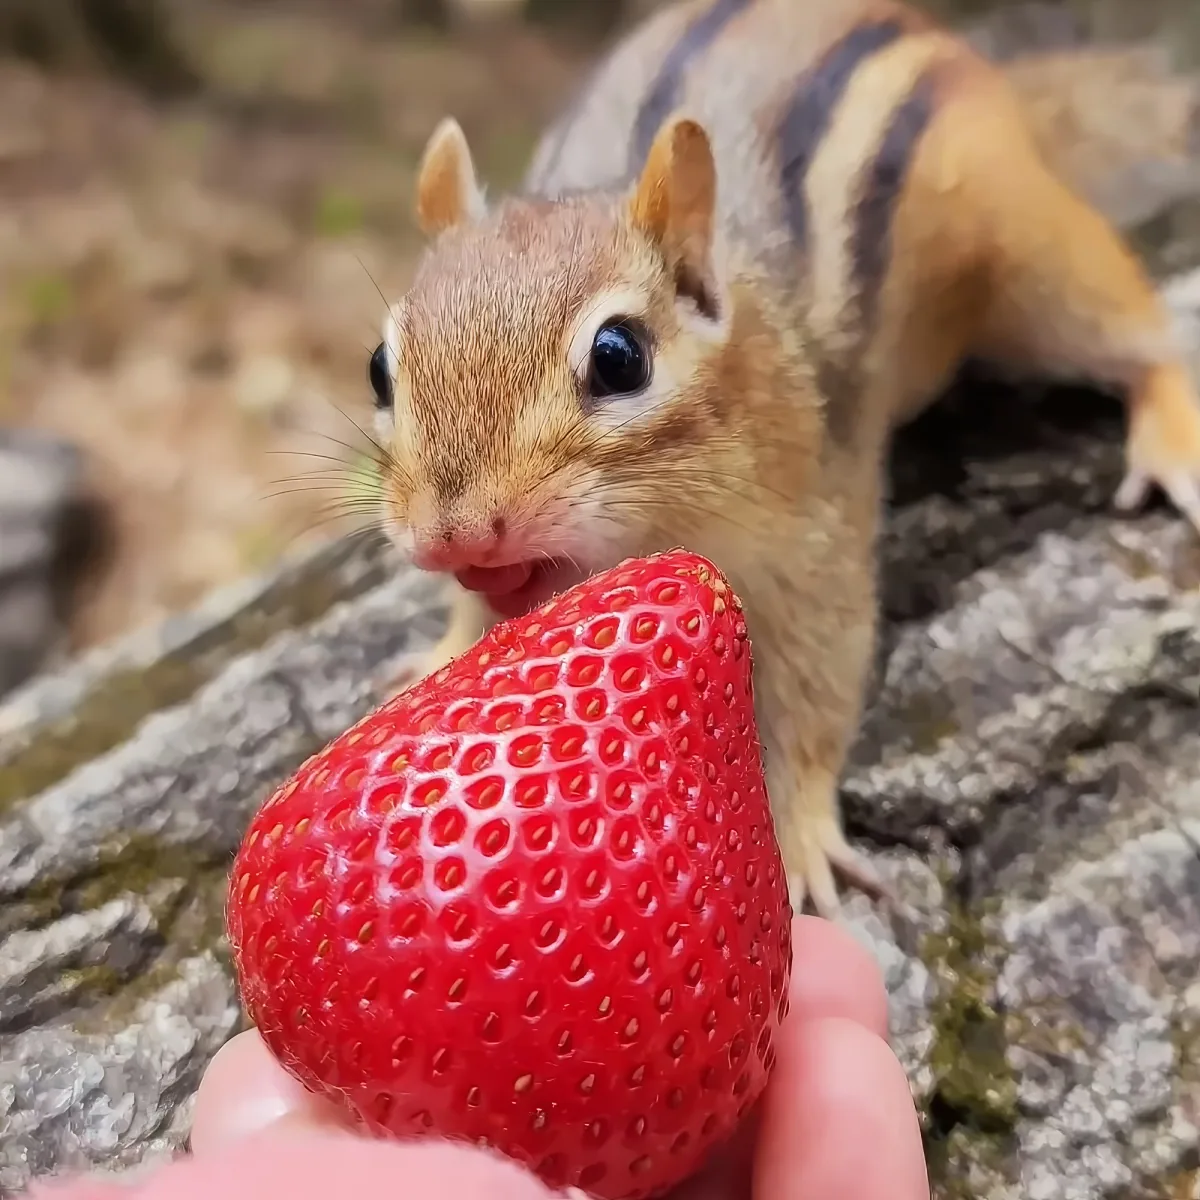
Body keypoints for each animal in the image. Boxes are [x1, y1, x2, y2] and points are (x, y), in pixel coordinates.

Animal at [367, 0, 1200, 918]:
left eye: (620, 358)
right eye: (378, 369)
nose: (452, 536)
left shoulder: (812, 537)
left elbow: (818, 683)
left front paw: (799, 836)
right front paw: (439, 657)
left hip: (1031, 252)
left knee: (1139, 336)